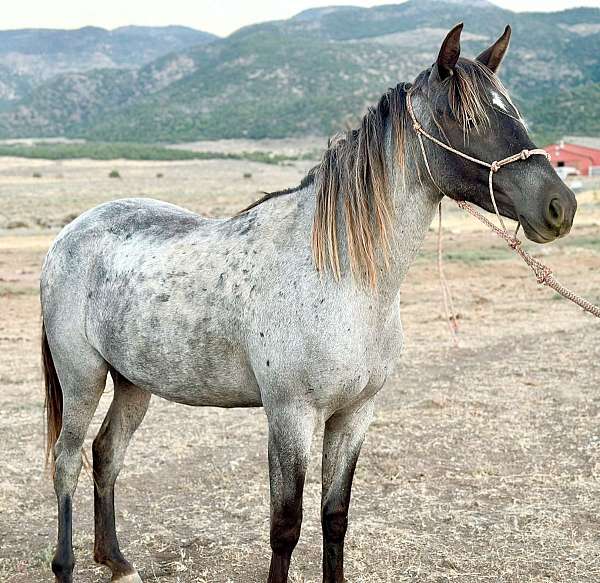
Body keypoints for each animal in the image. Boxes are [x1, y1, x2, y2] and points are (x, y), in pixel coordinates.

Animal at [42, 25, 576, 583]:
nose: (560, 207)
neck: (343, 277)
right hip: (83, 379)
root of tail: (71, 233)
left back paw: (118, 562)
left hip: (133, 384)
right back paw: (66, 564)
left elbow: (334, 516)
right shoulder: (290, 415)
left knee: (106, 454)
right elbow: (287, 524)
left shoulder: (355, 415)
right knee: (67, 460)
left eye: (515, 112)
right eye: (466, 119)